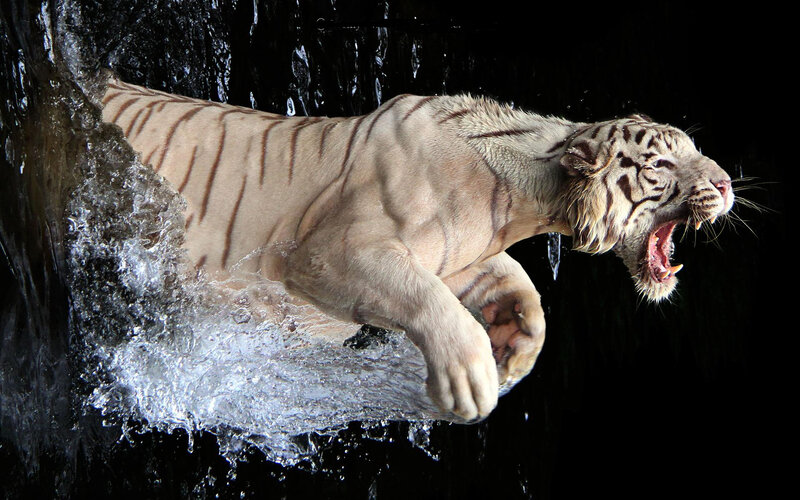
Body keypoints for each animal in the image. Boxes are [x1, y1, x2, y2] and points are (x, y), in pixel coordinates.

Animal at [100, 76, 734, 422]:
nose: (728, 183)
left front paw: (513, 350)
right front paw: (470, 378)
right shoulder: (331, 251)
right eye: (661, 164)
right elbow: (425, 298)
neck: (527, 200)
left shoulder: (457, 255)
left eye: (693, 148)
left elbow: (519, 290)